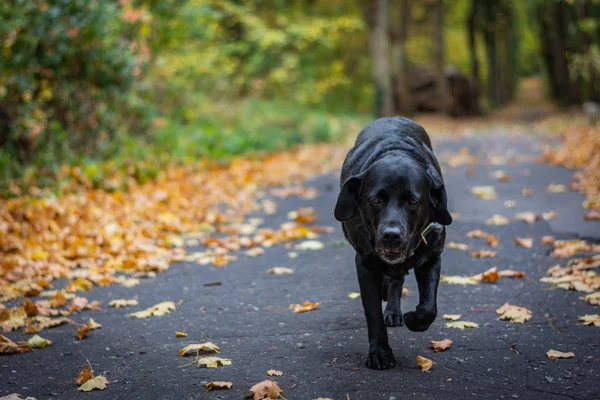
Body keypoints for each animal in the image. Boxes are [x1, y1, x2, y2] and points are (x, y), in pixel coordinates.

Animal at [332, 117, 450, 370]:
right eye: (375, 200)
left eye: (413, 201)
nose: (391, 235)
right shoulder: (365, 265)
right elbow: (373, 314)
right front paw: (380, 353)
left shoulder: (432, 255)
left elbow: (429, 307)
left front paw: (414, 320)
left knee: (397, 280)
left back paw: (395, 311)